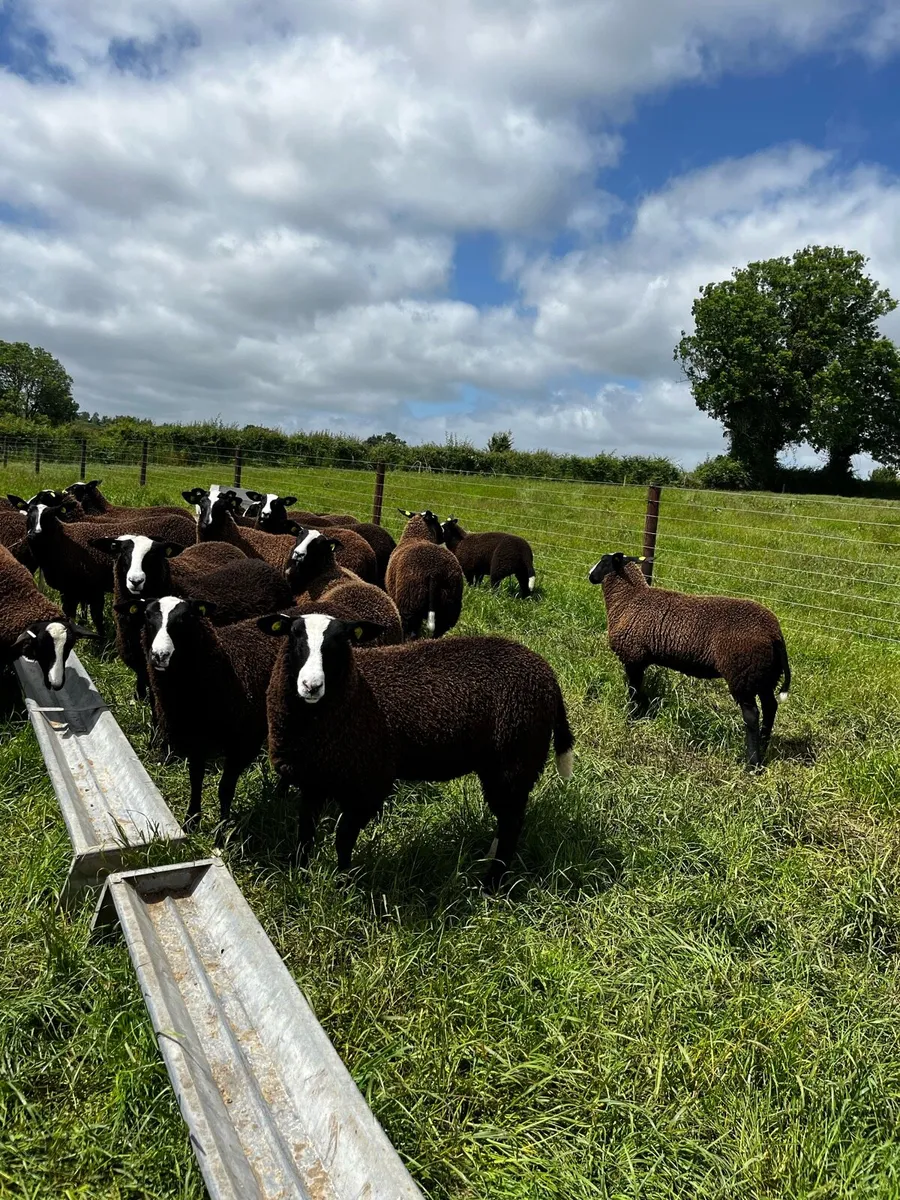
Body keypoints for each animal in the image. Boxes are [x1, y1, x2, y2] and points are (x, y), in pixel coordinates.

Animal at [24, 499, 196, 635]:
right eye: (28, 514)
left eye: (49, 515)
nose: (34, 534)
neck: (63, 541)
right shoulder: (70, 589)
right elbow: (70, 614)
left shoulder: (93, 588)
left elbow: (96, 617)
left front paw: (101, 641)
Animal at [121, 596, 282, 827]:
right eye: (147, 616)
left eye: (185, 618)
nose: (159, 656)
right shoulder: (195, 738)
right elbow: (195, 779)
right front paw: (191, 820)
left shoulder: (243, 743)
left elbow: (225, 788)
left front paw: (223, 830)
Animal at [258, 613, 574, 888]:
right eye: (294, 635)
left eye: (341, 640)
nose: (310, 685)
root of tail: (549, 677)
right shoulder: (314, 777)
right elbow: (305, 830)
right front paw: (298, 873)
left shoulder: (369, 783)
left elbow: (343, 838)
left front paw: (342, 884)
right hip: (508, 764)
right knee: (510, 818)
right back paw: (488, 860)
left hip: (514, 760)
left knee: (512, 823)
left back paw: (490, 884)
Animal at [385, 509, 463, 638]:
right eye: (436, 520)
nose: (443, 534)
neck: (416, 537)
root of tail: (434, 572)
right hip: (451, 604)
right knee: (440, 631)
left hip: (410, 603)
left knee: (411, 632)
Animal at [588, 552, 791, 769]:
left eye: (604, 561)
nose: (590, 576)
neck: (629, 598)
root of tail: (774, 633)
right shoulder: (640, 660)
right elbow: (639, 690)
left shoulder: (633, 657)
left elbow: (633, 692)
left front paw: (630, 719)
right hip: (764, 675)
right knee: (770, 707)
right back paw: (764, 745)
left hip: (742, 673)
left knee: (752, 716)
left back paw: (752, 763)